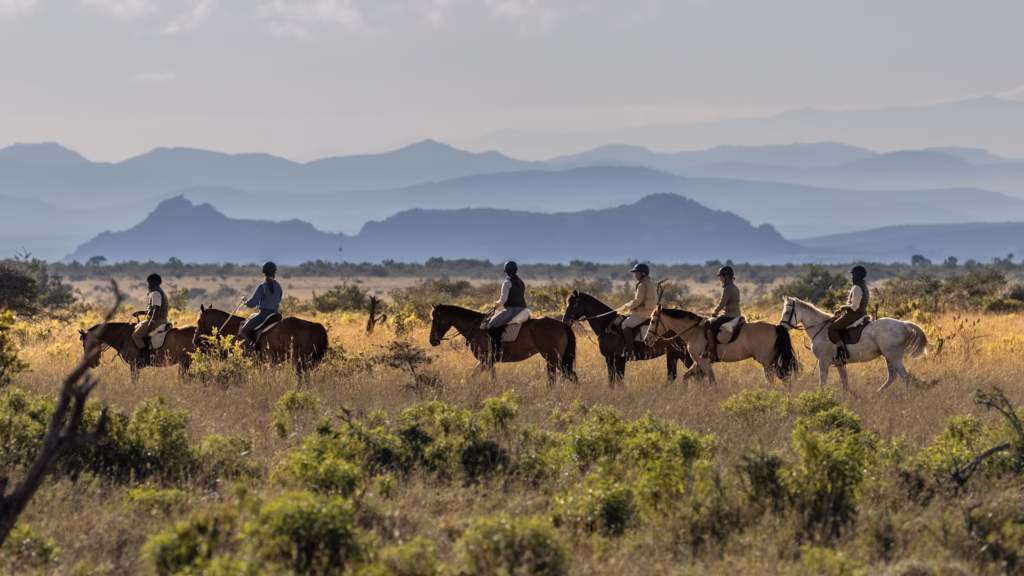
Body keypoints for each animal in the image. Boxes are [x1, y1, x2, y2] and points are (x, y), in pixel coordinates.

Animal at [428, 304, 577, 385]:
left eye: (436, 319)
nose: (432, 340)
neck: (476, 328)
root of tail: (563, 325)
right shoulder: (487, 362)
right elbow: (480, 376)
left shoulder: (486, 360)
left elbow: (477, 376)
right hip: (554, 360)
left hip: (553, 359)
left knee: (566, 376)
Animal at [561, 290, 692, 386]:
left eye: (574, 304)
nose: (565, 321)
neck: (607, 324)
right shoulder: (613, 359)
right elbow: (615, 380)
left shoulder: (614, 358)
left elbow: (615, 380)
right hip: (672, 354)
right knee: (672, 376)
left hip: (683, 355)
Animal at [647, 306, 799, 386]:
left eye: (653, 321)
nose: (647, 339)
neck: (693, 331)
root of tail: (776, 327)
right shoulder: (698, 362)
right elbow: (686, 376)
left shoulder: (703, 362)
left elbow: (711, 381)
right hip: (771, 361)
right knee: (783, 376)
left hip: (767, 362)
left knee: (777, 377)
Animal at [779, 297, 929, 391]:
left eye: (787, 312)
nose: (781, 327)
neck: (820, 328)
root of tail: (902, 324)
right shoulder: (839, 363)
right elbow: (845, 383)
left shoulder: (823, 361)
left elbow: (823, 382)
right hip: (888, 356)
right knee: (893, 376)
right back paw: (878, 393)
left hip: (893, 356)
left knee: (903, 375)